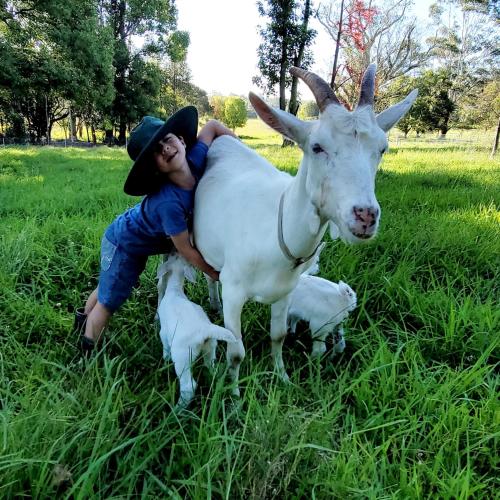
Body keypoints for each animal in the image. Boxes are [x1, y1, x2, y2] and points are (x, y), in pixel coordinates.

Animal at [158, 254, 236, 406]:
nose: (173, 252)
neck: (175, 290)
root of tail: (204, 330)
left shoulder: (163, 331)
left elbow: (164, 344)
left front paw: (165, 359)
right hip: (210, 347)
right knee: (211, 367)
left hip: (182, 357)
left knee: (189, 386)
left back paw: (178, 408)